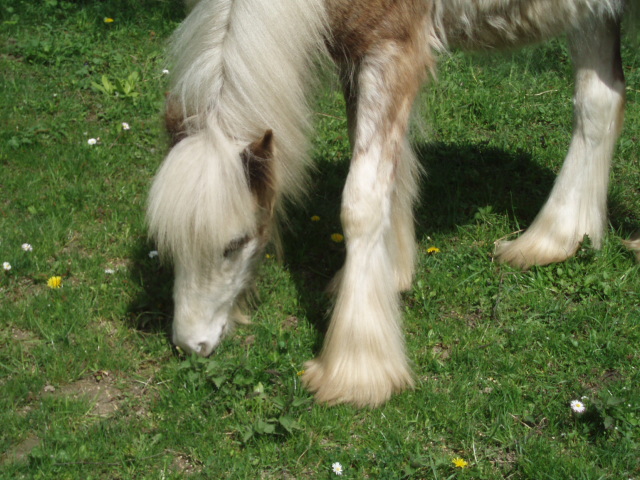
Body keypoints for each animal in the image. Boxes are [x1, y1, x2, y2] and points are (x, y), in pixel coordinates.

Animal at [148, 0, 632, 406]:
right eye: (168, 245)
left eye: (236, 244)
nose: (190, 344)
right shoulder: (357, 53)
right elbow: (383, 178)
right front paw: (393, 271)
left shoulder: (392, 49)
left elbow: (360, 203)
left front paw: (357, 372)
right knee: (598, 102)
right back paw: (553, 240)